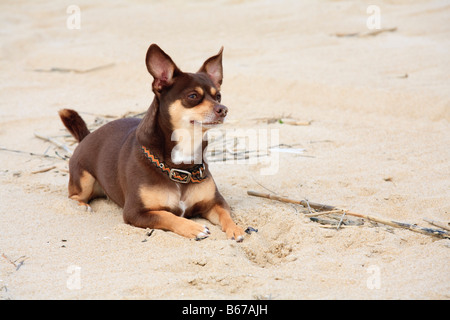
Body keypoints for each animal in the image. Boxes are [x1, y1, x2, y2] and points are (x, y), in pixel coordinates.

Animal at [59, 43, 246, 241]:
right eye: (193, 96)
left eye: (218, 96)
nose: (223, 109)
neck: (181, 165)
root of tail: (86, 136)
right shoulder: (136, 212)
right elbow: (167, 215)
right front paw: (193, 227)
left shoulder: (214, 203)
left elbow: (225, 214)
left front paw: (235, 228)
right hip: (84, 180)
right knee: (74, 196)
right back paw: (82, 206)